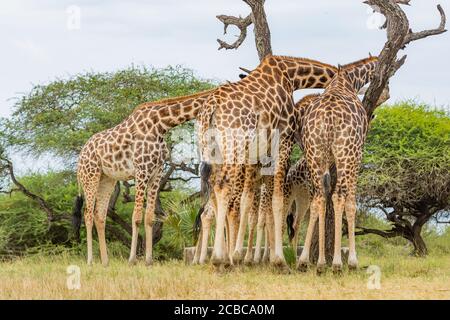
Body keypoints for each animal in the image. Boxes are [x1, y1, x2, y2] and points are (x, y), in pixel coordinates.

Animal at [76, 87, 219, 264]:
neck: (161, 125)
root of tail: (80, 158)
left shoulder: (157, 172)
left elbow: (150, 217)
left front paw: (149, 260)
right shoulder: (142, 170)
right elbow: (136, 216)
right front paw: (132, 259)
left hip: (107, 180)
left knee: (99, 215)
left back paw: (105, 262)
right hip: (91, 176)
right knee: (88, 214)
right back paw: (90, 261)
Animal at [197, 55, 338, 268]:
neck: (291, 76)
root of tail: (210, 108)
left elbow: (254, 204)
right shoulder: (283, 142)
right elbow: (276, 201)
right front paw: (278, 259)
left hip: (212, 150)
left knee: (214, 196)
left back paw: (220, 257)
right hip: (234, 146)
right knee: (223, 190)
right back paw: (220, 258)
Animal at [298, 56, 382, 272]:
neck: (348, 80)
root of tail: (328, 116)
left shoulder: (327, 159)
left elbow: (323, 199)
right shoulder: (357, 154)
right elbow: (351, 203)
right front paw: (352, 260)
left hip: (314, 152)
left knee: (318, 198)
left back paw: (311, 262)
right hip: (346, 152)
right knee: (338, 196)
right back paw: (337, 263)